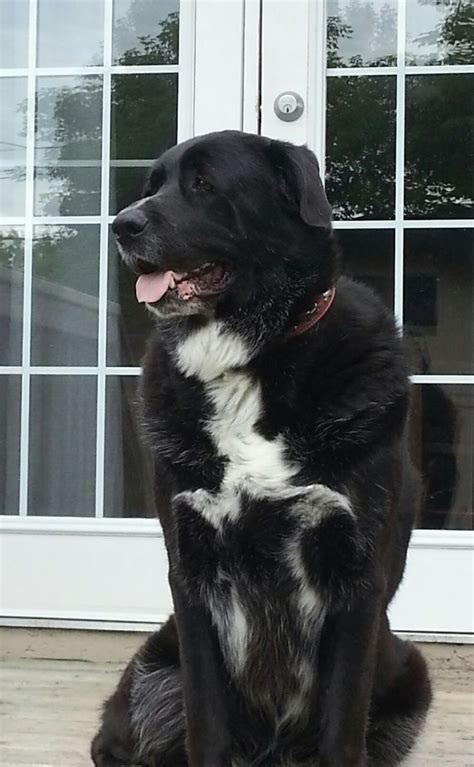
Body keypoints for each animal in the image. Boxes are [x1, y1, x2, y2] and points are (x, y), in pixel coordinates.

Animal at [90, 134, 432, 767]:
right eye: (153, 185)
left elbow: (342, 729)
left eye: (203, 184)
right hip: (154, 671)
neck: (253, 359)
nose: (122, 225)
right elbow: (206, 723)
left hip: (406, 671)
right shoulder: (192, 579)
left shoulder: (357, 583)